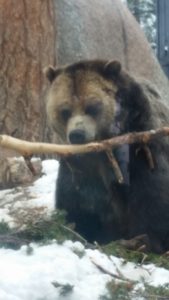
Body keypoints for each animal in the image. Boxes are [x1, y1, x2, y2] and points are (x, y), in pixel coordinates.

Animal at [45, 59, 169, 252]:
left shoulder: (142, 147)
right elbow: (76, 199)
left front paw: (148, 241)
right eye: (65, 110)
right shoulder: (79, 166)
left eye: (92, 107)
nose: (77, 134)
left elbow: (152, 196)